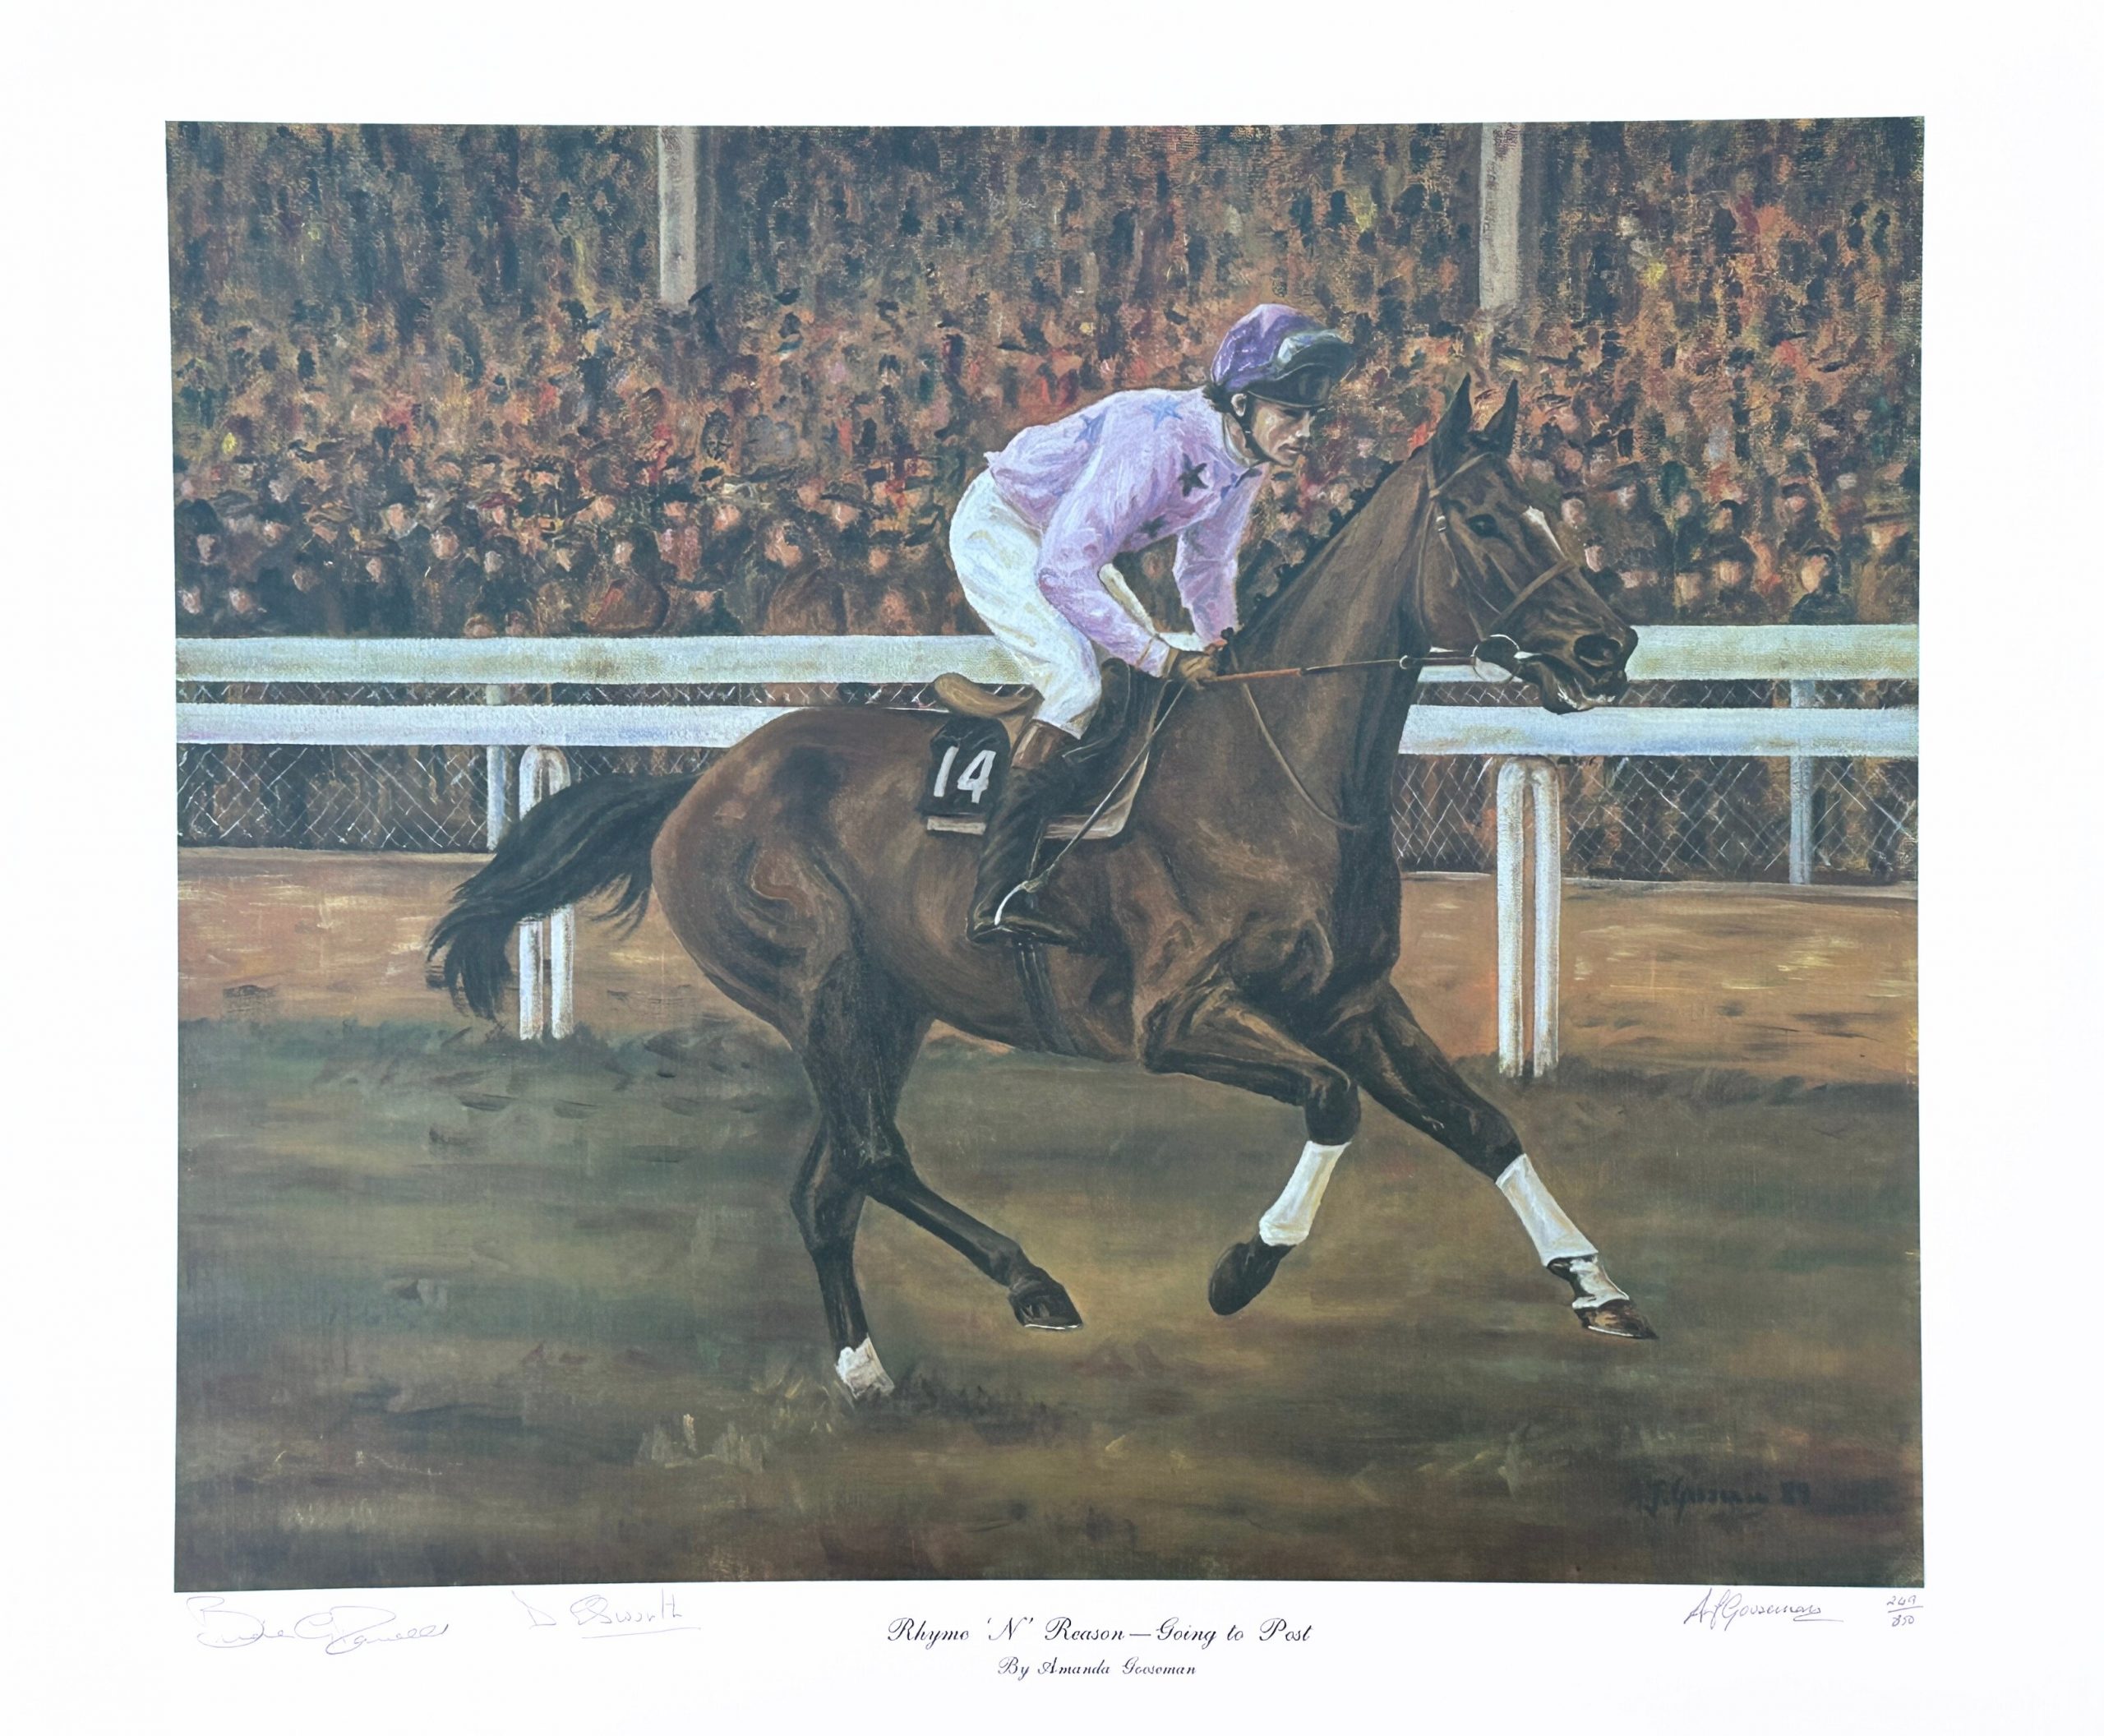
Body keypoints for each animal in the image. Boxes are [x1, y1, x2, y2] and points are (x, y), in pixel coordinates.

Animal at [429, 380, 1650, 1400]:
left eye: (1561, 513)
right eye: (1486, 522)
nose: (1610, 647)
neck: (1272, 772)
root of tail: (698, 781)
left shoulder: (1348, 1000)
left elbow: (1482, 1124)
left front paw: (1596, 1285)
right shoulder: (1173, 1019)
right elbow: (1333, 1102)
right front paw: (1243, 1268)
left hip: (888, 1006)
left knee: (830, 1182)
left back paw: (865, 1366)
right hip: (815, 986)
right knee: (871, 1156)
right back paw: (1029, 1285)